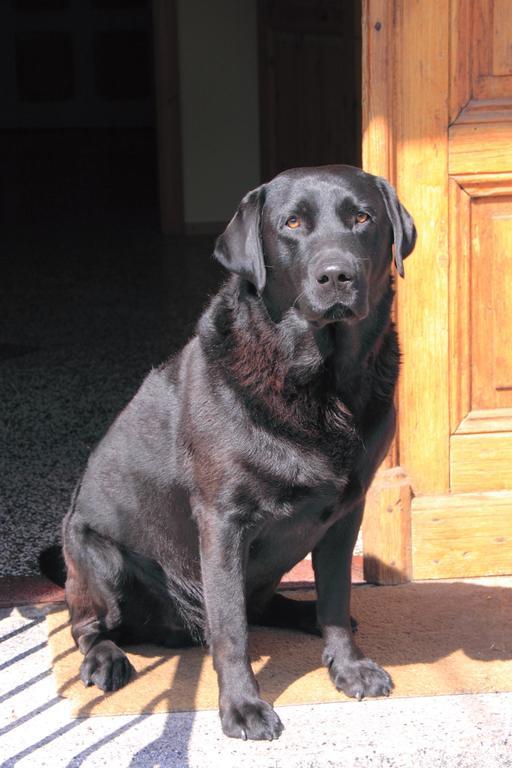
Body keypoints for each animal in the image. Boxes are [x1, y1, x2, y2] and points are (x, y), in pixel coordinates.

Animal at [59, 165, 416, 740]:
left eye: (363, 218)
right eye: (292, 223)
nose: (336, 275)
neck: (318, 383)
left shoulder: (346, 512)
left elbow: (337, 597)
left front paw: (348, 667)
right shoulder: (222, 519)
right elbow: (230, 629)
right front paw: (243, 706)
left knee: (275, 603)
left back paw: (302, 613)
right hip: (96, 553)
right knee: (89, 625)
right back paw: (106, 659)